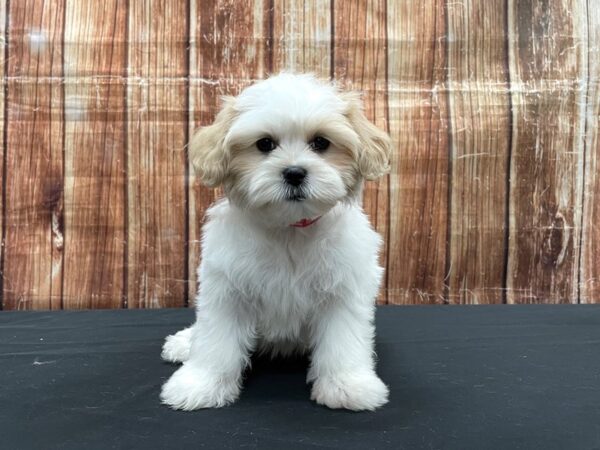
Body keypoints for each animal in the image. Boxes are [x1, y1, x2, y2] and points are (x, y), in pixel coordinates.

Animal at [162, 73, 392, 412]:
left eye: (320, 142)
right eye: (265, 144)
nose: (294, 173)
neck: (289, 228)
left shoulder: (343, 290)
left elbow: (342, 341)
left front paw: (346, 385)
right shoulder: (226, 289)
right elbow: (215, 341)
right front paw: (201, 384)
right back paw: (184, 342)